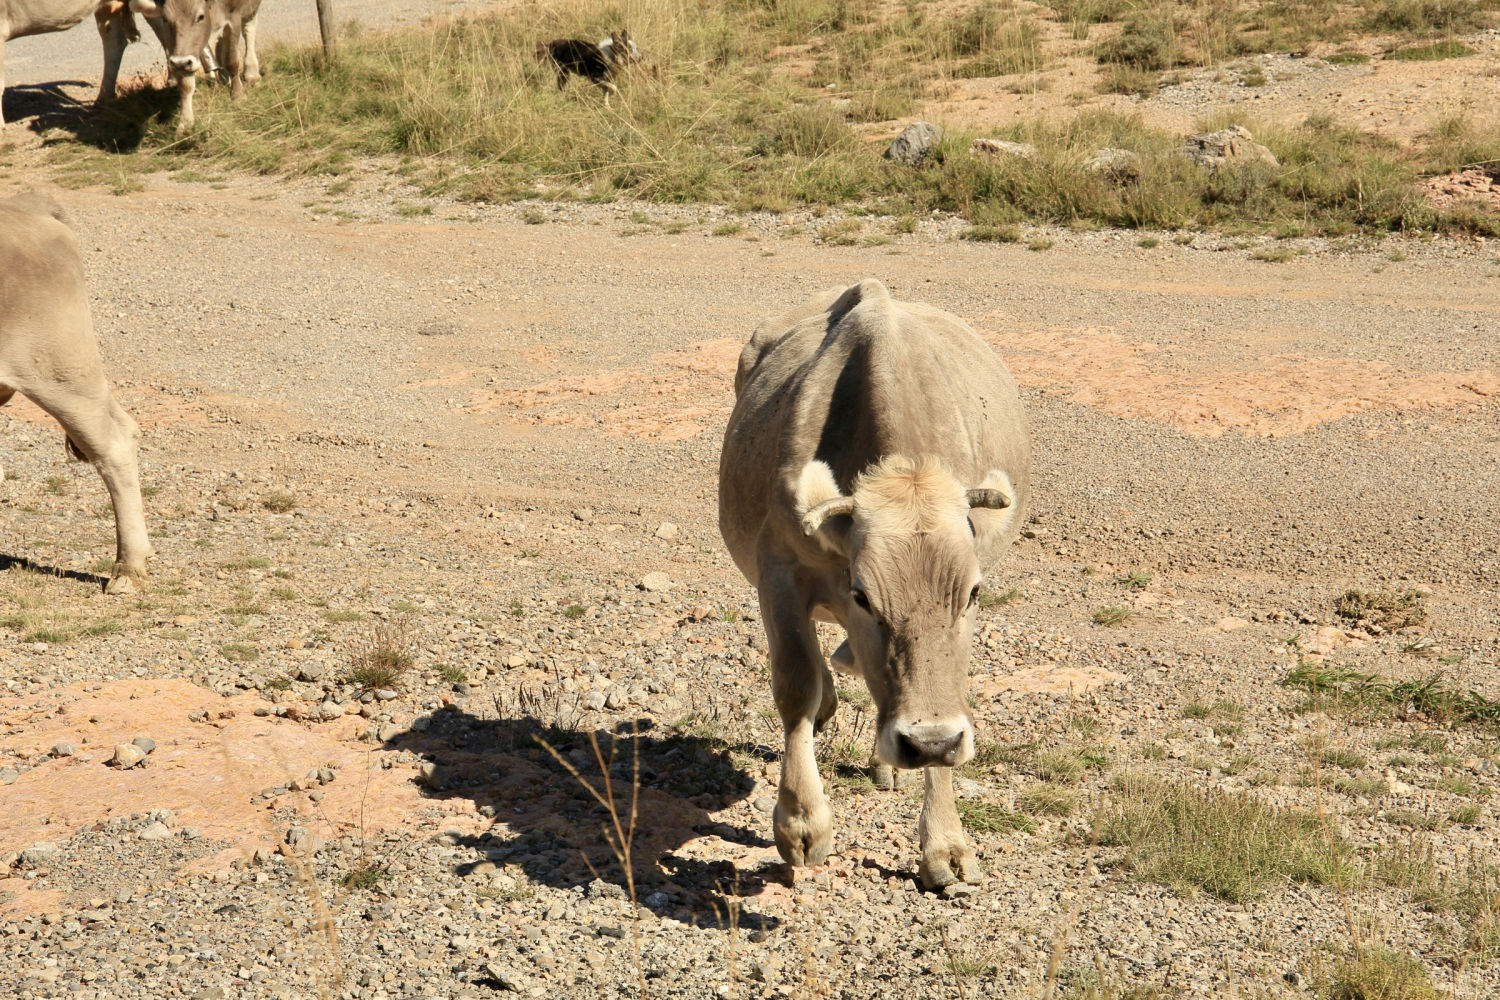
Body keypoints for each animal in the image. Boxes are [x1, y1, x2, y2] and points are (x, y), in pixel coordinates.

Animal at [126, 0, 260, 130]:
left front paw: (238, 96)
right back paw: (224, 78)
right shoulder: (179, 51)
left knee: (249, 28)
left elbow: (231, 61)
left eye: (200, 17)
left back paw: (251, 73)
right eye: (165, 19)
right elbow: (185, 83)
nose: (180, 63)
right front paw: (185, 123)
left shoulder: (234, 17)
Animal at [718, 278, 1030, 890]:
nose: (928, 740)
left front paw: (945, 843)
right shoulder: (777, 570)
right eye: (864, 594)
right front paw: (801, 823)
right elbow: (796, 682)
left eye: (973, 593)